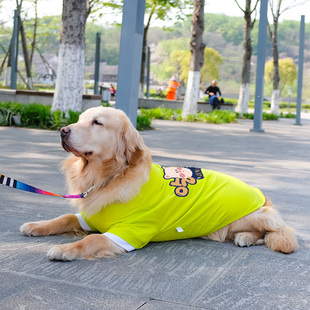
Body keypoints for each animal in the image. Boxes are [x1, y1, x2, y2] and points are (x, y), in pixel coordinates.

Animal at [19, 107, 298, 262]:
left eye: (97, 122)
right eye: (78, 119)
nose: (63, 130)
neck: (110, 176)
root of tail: (262, 195)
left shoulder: (127, 233)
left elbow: (90, 241)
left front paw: (63, 249)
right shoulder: (90, 216)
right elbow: (64, 218)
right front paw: (36, 225)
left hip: (252, 216)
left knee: (275, 231)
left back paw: (247, 237)